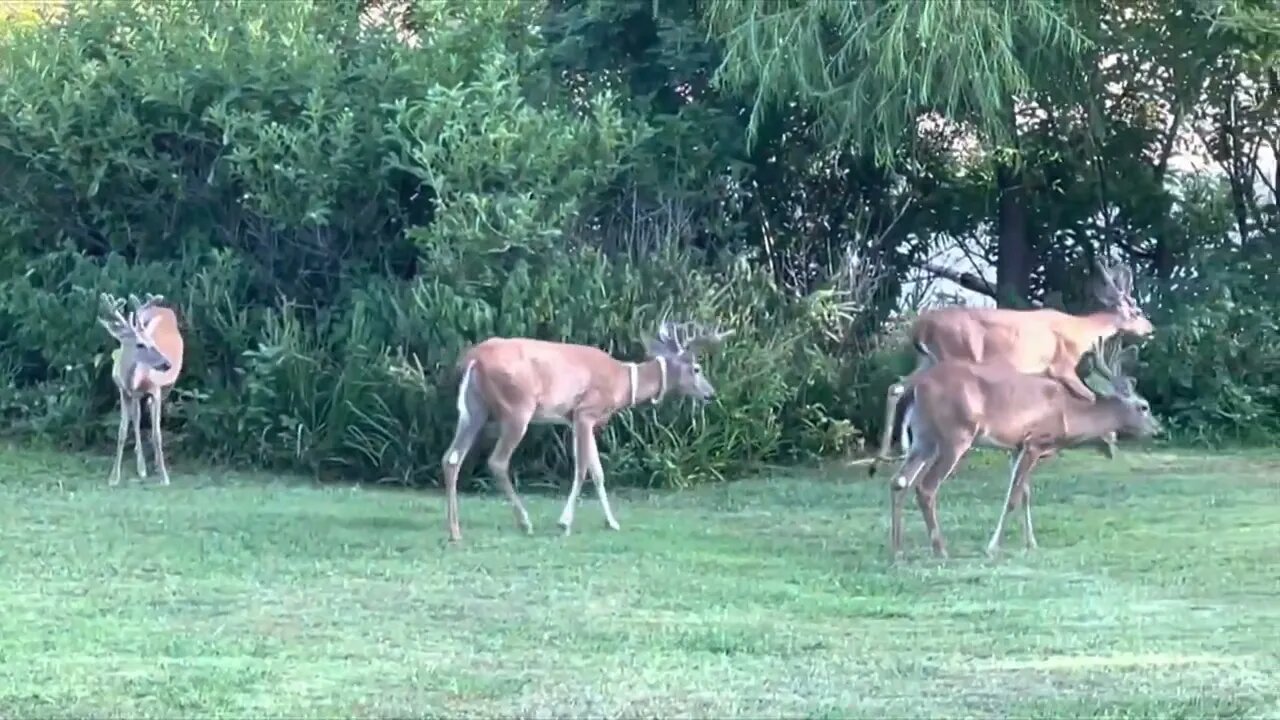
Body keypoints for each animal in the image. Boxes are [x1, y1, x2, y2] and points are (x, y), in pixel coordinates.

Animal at [98, 293, 186, 486]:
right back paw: (142, 467)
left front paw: (164, 477)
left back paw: (154, 465)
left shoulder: (156, 390)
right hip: (135, 396)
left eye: (152, 342)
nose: (167, 364)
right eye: (140, 344)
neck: (135, 379)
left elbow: (157, 434)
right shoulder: (124, 391)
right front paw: (114, 477)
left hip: (168, 386)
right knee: (137, 418)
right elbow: (122, 431)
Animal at [437, 319, 732, 538]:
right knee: (497, 461)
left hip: (474, 409)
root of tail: (472, 359)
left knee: (451, 458)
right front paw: (565, 522)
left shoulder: (578, 419)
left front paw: (611, 522)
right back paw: (525, 522)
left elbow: (597, 470)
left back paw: (454, 531)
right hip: (517, 408)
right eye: (697, 368)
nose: (711, 394)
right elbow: (582, 469)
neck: (621, 381)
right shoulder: (585, 413)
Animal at [875, 256, 1157, 458]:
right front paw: (1110, 441)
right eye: (1137, 311)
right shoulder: (1062, 366)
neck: (1081, 330)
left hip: (926, 359)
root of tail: (920, 328)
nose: (1150, 329)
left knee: (897, 387)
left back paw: (892, 450)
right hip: (952, 354)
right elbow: (1089, 396)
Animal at [880, 343, 1162, 561]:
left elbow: (1025, 494)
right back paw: (940, 550)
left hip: (923, 439)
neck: (1069, 413)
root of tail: (916, 388)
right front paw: (993, 547)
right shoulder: (1035, 442)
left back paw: (897, 551)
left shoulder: (1016, 447)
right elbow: (1014, 497)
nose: (1157, 429)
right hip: (955, 435)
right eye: (1144, 406)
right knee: (926, 487)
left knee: (899, 481)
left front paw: (1031, 544)